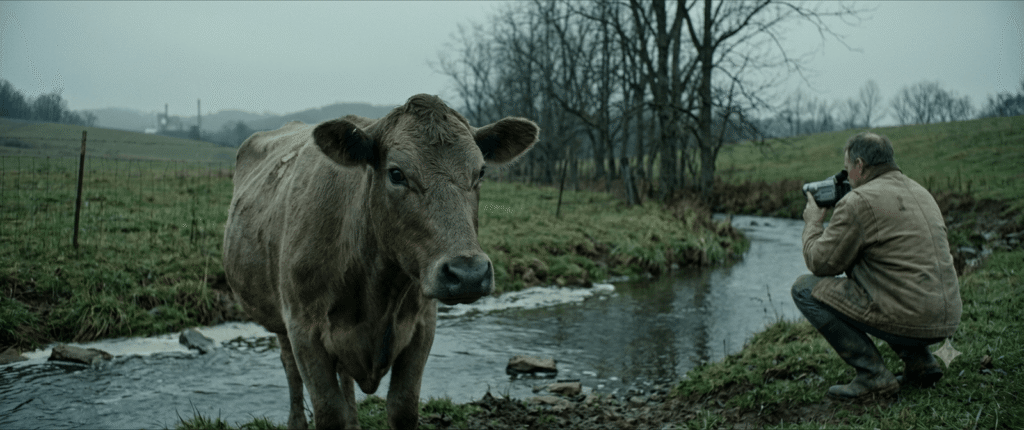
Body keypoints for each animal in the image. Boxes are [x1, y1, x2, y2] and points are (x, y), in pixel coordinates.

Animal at [222, 94, 538, 429]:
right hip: (279, 318)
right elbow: (329, 411)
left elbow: (402, 406)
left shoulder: (422, 326)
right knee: (290, 369)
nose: (468, 273)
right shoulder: (303, 328)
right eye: (396, 174)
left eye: (480, 172)